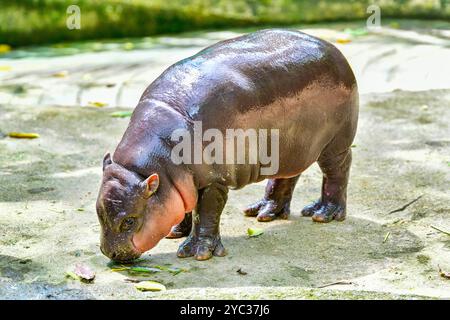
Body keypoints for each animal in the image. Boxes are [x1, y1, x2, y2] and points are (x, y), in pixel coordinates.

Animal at [97, 28, 358, 262]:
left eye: (129, 221)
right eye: (98, 212)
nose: (110, 254)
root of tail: (333, 48)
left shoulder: (214, 181)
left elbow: (206, 212)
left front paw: (198, 252)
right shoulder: (182, 183)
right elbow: (185, 206)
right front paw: (176, 232)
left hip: (335, 144)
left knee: (337, 171)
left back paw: (323, 214)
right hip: (290, 149)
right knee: (287, 176)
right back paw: (264, 213)